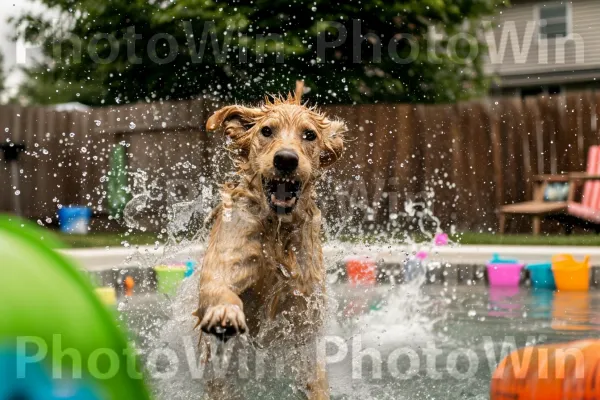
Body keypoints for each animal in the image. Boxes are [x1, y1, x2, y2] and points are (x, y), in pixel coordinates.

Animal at [196, 88, 344, 400]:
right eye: (266, 130)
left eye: (309, 135)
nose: (286, 159)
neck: (276, 232)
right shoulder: (229, 258)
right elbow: (218, 287)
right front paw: (225, 313)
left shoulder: (305, 302)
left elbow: (311, 364)